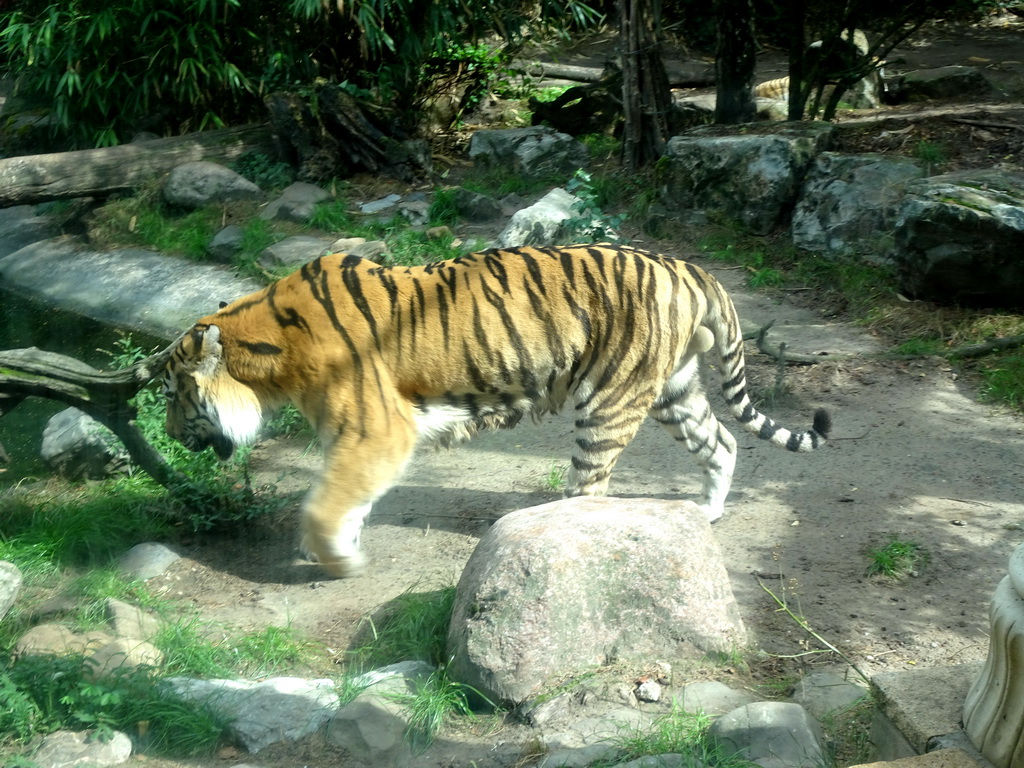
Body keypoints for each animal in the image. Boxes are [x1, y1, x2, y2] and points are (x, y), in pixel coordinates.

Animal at [161, 244, 831, 577]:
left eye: (172, 393)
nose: (166, 431)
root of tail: (689, 267)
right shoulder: (358, 439)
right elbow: (344, 498)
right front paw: (337, 548)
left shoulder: (377, 431)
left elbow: (325, 503)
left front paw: (338, 561)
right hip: (673, 388)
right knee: (722, 442)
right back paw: (706, 512)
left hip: (611, 398)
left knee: (589, 491)